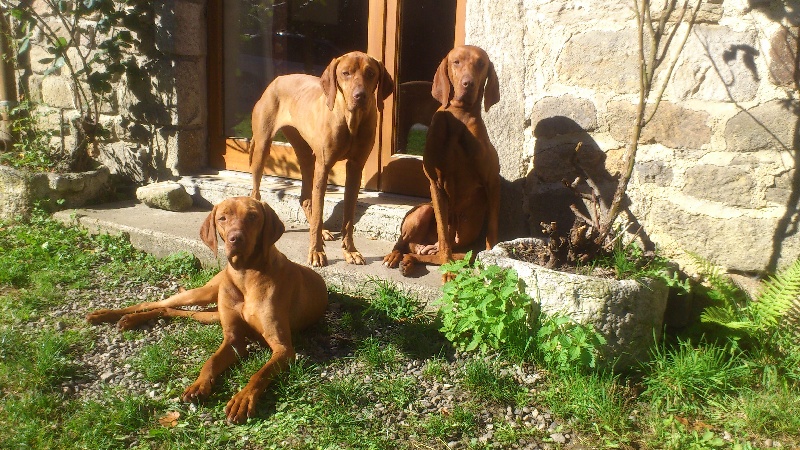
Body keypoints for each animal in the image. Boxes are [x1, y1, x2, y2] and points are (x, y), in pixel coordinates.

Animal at [87, 197, 328, 424]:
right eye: (222, 218)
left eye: (252, 216)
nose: (235, 238)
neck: (245, 274)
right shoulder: (233, 338)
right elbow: (210, 362)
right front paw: (199, 384)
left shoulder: (282, 348)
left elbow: (259, 374)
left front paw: (242, 399)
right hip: (203, 294)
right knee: (156, 303)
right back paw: (106, 315)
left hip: (212, 314)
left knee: (172, 310)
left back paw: (128, 319)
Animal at [249, 51, 394, 267]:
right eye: (345, 73)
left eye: (370, 73)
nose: (360, 96)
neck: (351, 121)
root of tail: (277, 79)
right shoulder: (324, 167)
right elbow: (319, 213)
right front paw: (316, 252)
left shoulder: (355, 168)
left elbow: (348, 217)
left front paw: (350, 251)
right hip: (263, 147)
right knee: (256, 192)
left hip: (306, 154)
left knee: (305, 198)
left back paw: (324, 231)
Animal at [383, 45, 500, 280]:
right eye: (456, 62)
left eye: (481, 63)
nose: (468, 83)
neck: (460, 116)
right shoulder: (435, 185)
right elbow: (444, 234)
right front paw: (449, 273)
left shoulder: (491, 182)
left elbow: (492, 230)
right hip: (422, 211)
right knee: (406, 243)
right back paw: (396, 256)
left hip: (464, 245)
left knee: (432, 254)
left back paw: (409, 262)